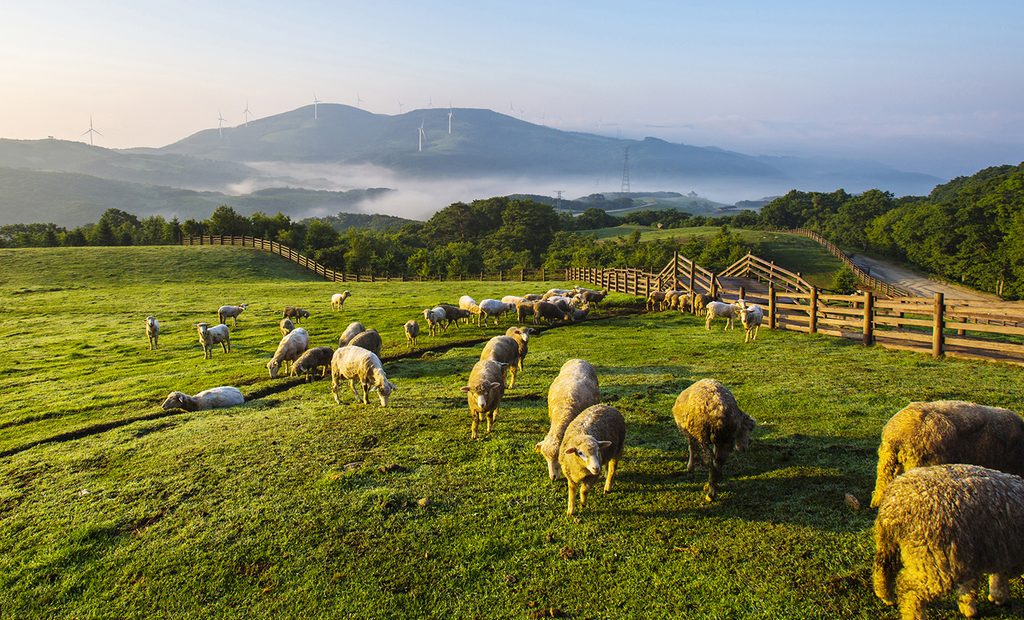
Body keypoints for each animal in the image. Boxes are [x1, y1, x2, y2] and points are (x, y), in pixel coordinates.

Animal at [873, 464, 1024, 619]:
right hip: (935, 559)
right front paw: (997, 597)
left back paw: (886, 596)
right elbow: (999, 576)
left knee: (882, 569)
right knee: (910, 590)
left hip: (888, 543)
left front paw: (971, 606)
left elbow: (974, 583)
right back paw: (913, 614)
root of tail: (896, 503)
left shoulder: (980, 550)